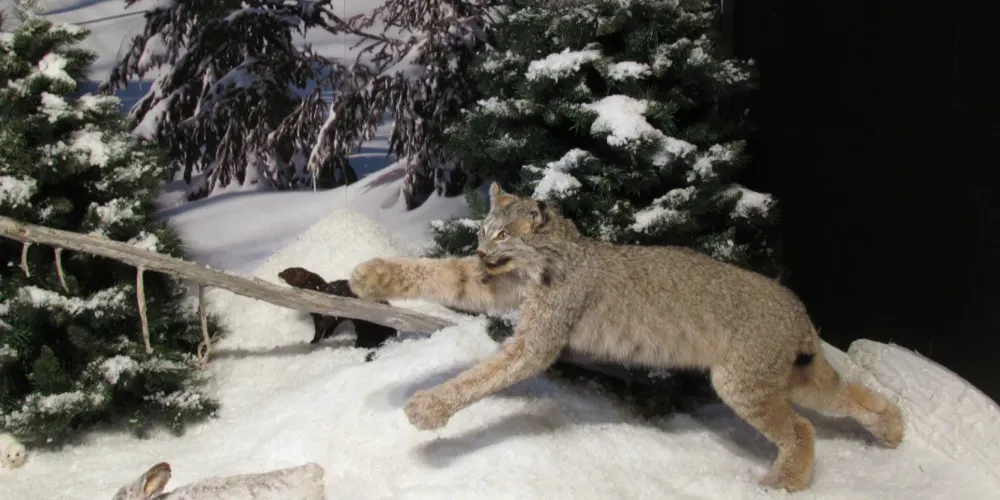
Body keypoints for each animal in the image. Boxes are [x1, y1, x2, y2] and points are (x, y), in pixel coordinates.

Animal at [347, 182, 904, 492]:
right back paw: (892, 429)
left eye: (502, 234)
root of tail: (797, 306)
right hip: (781, 376)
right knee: (844, 394)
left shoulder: (536, 342)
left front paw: (429, 408)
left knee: (804, 428)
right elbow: (444, 273)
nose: (483, 250)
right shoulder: (495, 284)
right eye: (483, 233)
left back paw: (783, 483)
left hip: (742, 382)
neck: (554, 253)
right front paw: (373, 276)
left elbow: (480, 376)